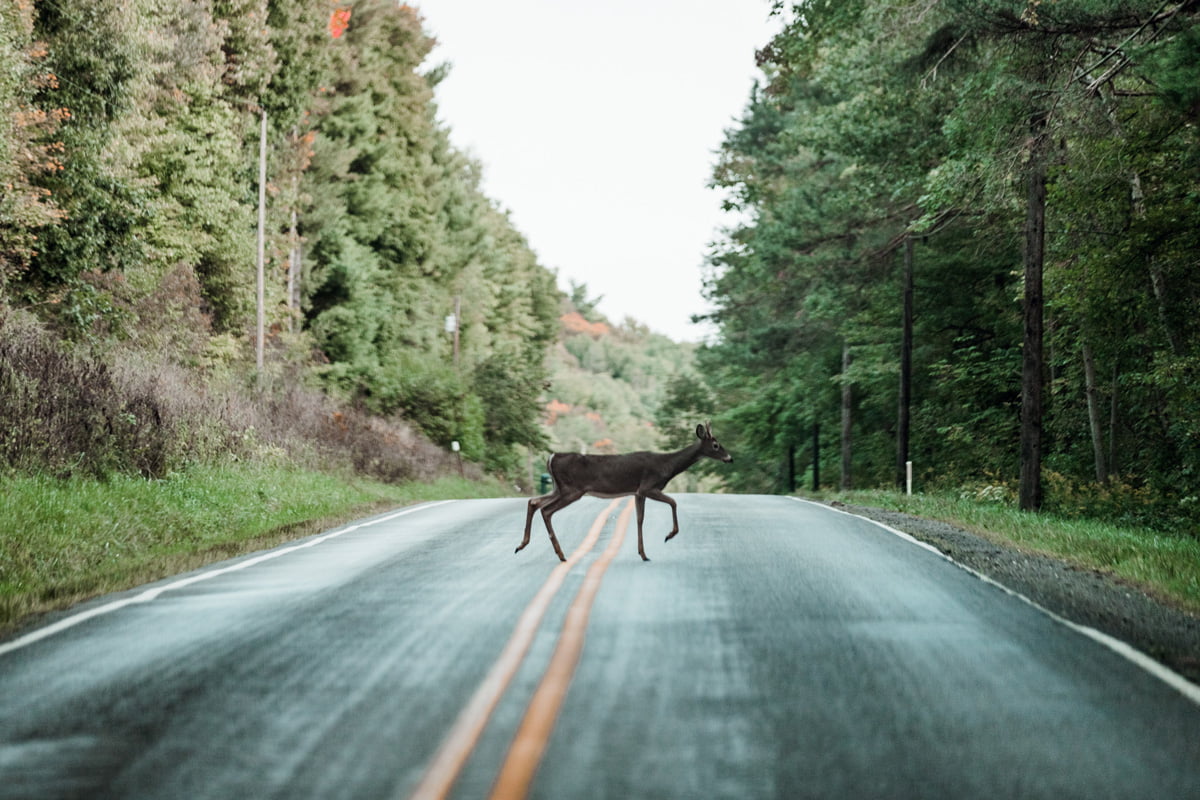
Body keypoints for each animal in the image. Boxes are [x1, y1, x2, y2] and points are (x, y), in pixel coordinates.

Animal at [516, 424, 729, 563]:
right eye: (716, 445)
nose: (730, 458)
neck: (667, 466)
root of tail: (552, 457)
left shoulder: (637, 492)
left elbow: (640, 519)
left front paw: (643, 554)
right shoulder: (648, 486)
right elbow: (673, 502)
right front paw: (669, 535)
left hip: (558, 488)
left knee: (533, 502)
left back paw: (522, 545)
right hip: (572, 489)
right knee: (546, 510)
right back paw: (560, 555)